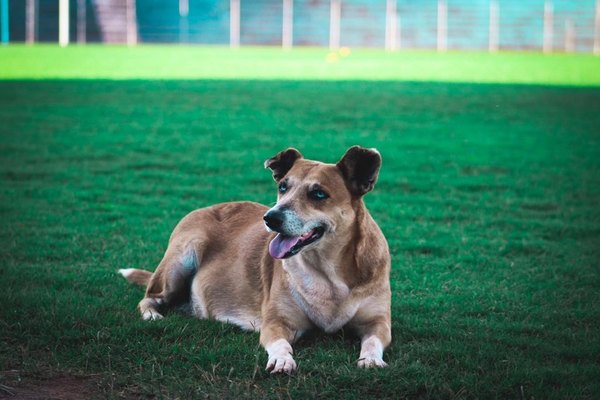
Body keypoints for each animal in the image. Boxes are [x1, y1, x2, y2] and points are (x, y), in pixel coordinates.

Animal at [119, 145, 392, 374]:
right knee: (150, 296)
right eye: (283, 187)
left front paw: (371, 359)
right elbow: (280, 343)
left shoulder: (379, 321)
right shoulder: (276, 321)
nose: (271, 217)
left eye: (318, 194)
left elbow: (374, 340)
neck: (328, 270)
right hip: (182, 256)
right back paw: (152, 314)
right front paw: (282, 360)